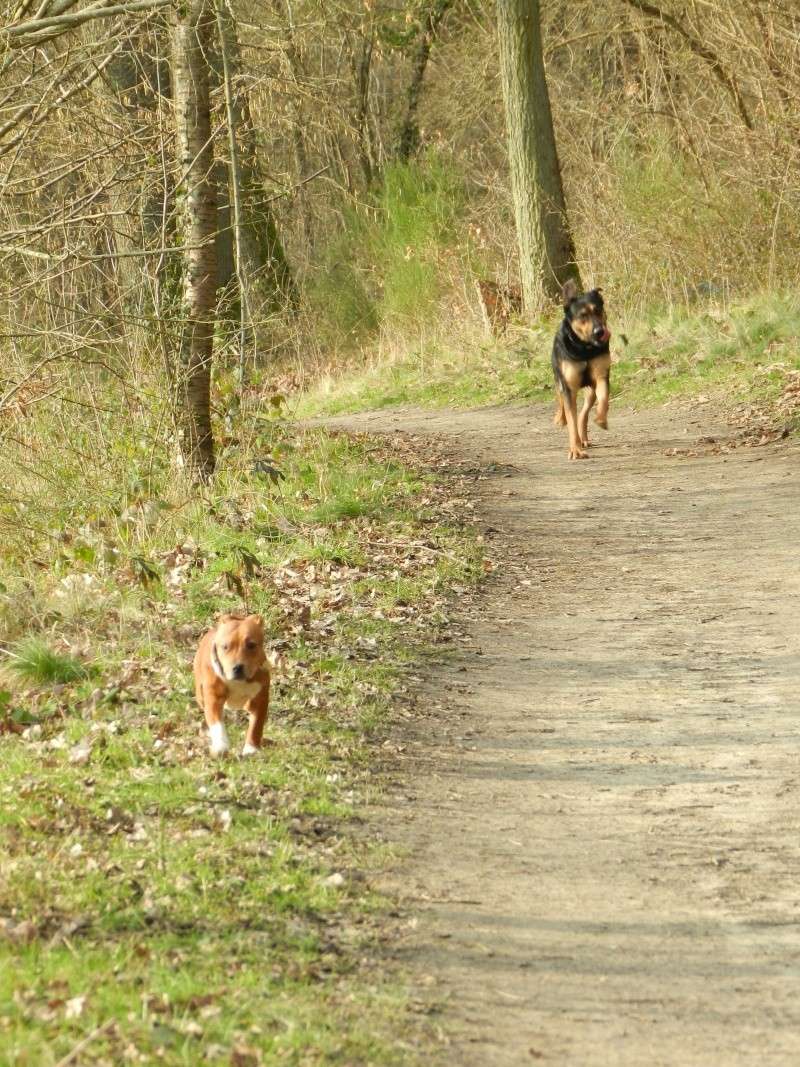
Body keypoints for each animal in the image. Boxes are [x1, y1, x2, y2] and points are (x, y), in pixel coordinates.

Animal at [193, 614, 270, 755]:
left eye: (251, 645)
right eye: (225, 646)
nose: (238, 667)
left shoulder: (260, 698)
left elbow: (256, 724)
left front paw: (251, 748)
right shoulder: (213, 698)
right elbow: (217, 723)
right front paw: (221, 745)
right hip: (200, 695)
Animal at [550, 279, 614, 458]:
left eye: (598, 310)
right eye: (582, 315)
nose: (600, 332)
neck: (584, 347)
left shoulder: (601, 376)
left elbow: (604, 398)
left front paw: (601, 419)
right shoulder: (569, 386)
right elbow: (570, 418)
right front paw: (575, 450)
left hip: (589, 390)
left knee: (583, 414)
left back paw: (583, 437)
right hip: (559, 379)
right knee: (561, 400)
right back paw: (560, 419)